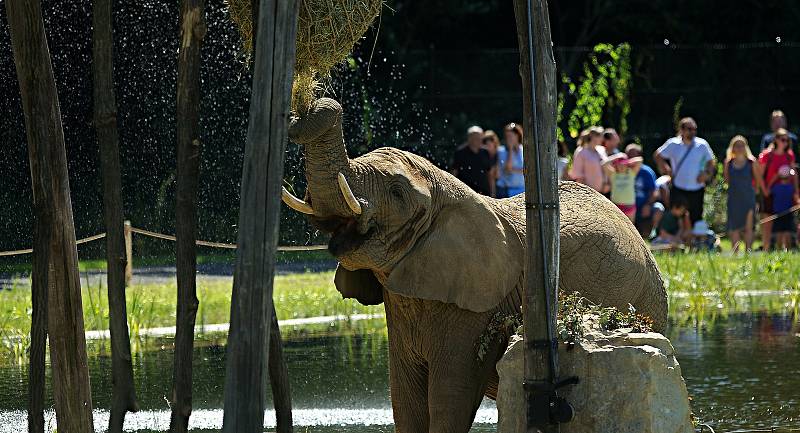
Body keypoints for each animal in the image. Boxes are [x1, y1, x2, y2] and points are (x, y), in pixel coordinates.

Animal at [282, 98, 668, 432]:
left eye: (396, 192)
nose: (312, 105)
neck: (449, 192)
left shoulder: (476, 306)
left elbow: (450, 394)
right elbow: (405, 397)